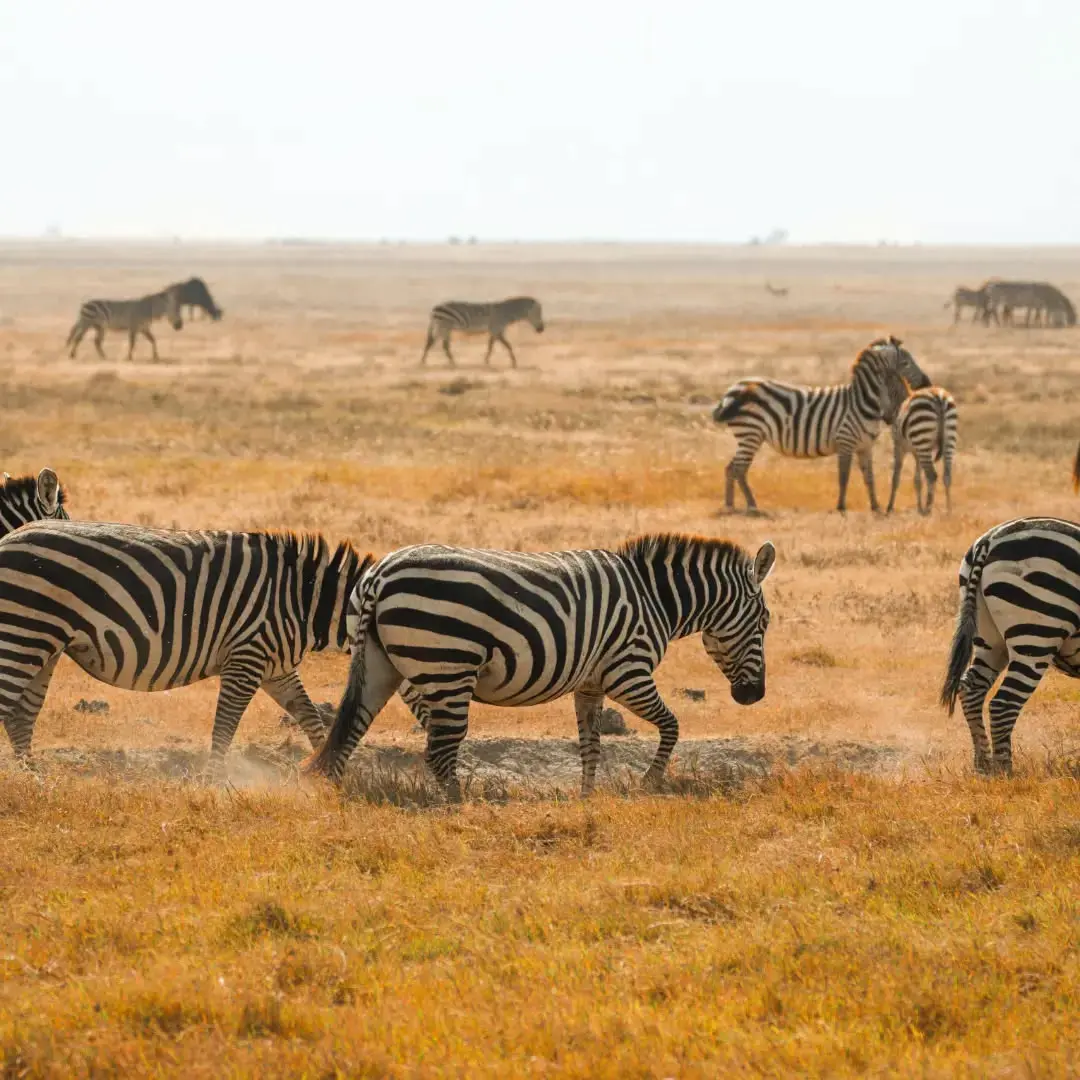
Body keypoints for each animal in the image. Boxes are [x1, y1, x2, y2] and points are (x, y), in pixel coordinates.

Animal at [0, 521, 369, 777]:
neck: (303, 601)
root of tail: (9, 538)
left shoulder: (275, 667)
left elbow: (311, 717)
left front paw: (328, 772)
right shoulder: (246, 657)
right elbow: (225, 727)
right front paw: (213, 782)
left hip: (42, 645)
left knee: (22, 715)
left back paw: (35, 779)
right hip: (22, 633)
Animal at [305, 533, 776, 798]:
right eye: (766, 621)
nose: (754, 696)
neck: (655, 597)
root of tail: (379, 576)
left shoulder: (591, 681)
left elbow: (590, 744)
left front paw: (587, 798)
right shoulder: (628, 671)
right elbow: (672, 726)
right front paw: (649, 782)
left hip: (380, 664)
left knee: (350, 732)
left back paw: (334, 797)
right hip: (448, 666)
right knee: (439, 751)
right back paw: (461, 804)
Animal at [711, 336, 931, 513]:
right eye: (906, 362)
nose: (927, 382)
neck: (861, 401)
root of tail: (732, 389)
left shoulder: (865, 446)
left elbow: (870, 478)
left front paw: (875, 506)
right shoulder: (845, 442)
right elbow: (844, 476)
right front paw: (841, 506)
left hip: (749, 435)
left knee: (731, 468)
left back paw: (730, 505)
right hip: (750, 432)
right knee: (739, 469)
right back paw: (751, 505)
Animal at [884, 385, 958, 515]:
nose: (887, 419)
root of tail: (938, 397)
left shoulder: (899, 446)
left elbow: (895, 478)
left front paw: (889, 508)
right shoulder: (917, 452)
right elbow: (918, 480)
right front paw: (919, 508)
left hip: (922, 437)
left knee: (932, 475)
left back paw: (928, 509)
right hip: (948, 439)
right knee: (947, 475)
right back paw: (948, 510)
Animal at [941, 517, 1080, 774]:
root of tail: (990, 539)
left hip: (989, 640)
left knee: (971, 691)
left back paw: (983, 766)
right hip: (1036, 633)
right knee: (1003, 703)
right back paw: (1005, 773)